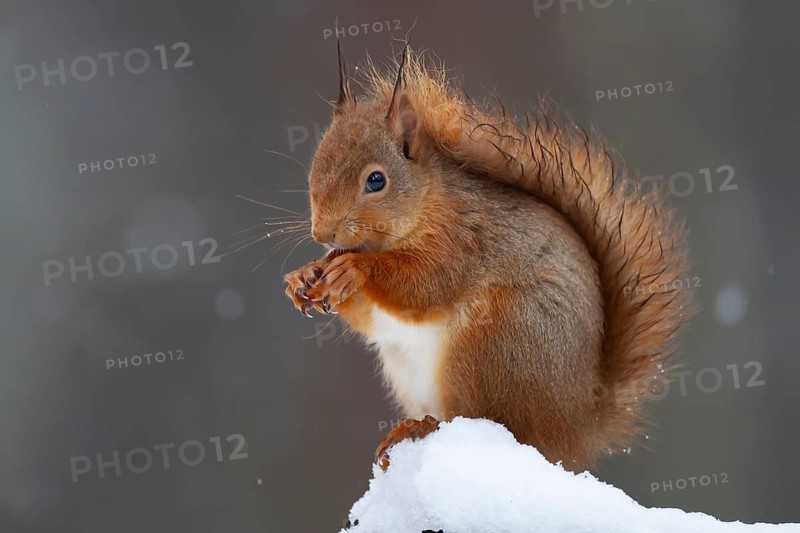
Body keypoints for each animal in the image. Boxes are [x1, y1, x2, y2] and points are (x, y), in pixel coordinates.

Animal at [283, 41, 691, 472]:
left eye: (376, 180)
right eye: (315, 168)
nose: (322, 234)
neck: (427, 204)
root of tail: (577, 430)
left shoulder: (463, 241)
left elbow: (424, 287)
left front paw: (354, 270)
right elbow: (371, 319)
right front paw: (304, 277)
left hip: (494, 345)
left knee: (498, 421)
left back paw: (423, 426)